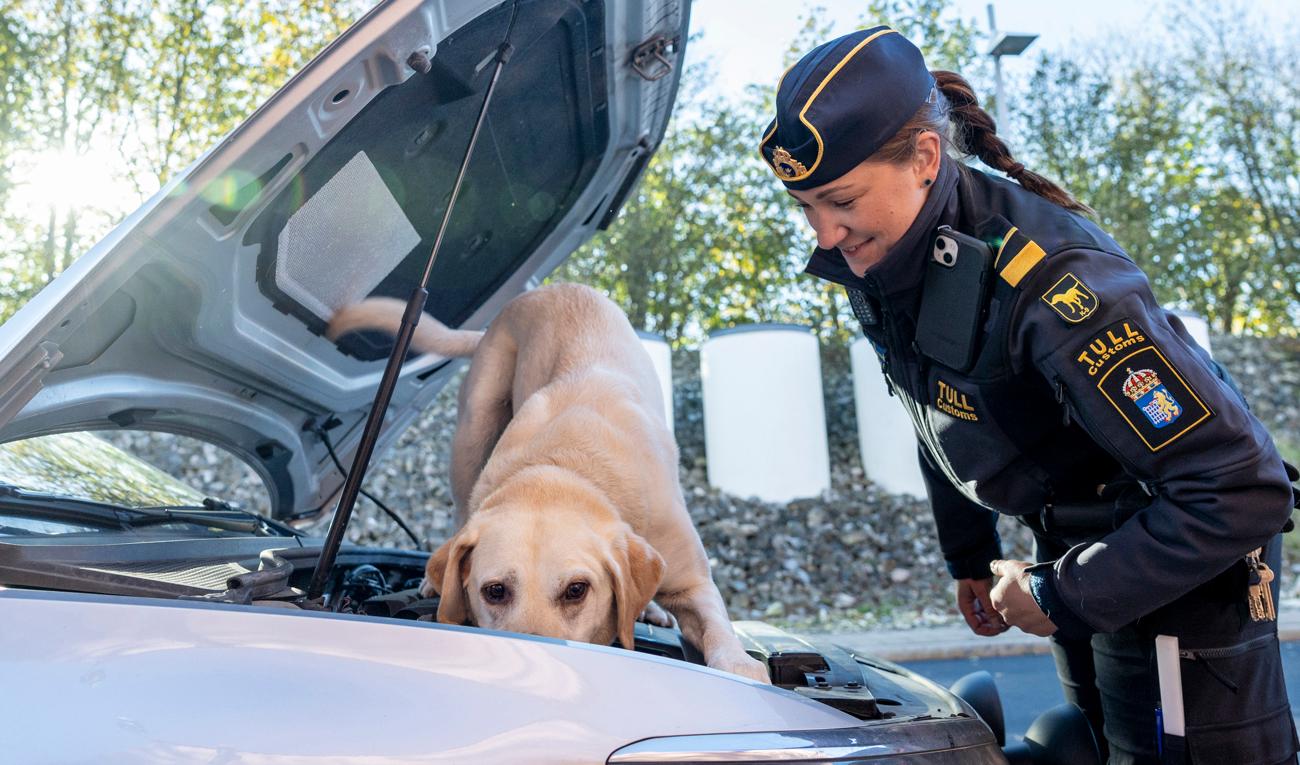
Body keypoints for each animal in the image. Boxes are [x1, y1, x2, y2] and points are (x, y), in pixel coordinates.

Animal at [330, 281, 764, 681]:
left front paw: (740, 665)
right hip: (474, 430)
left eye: (577, 590)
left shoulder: (694, 582)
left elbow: (718, 628)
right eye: (495, 591)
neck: (566, 468)